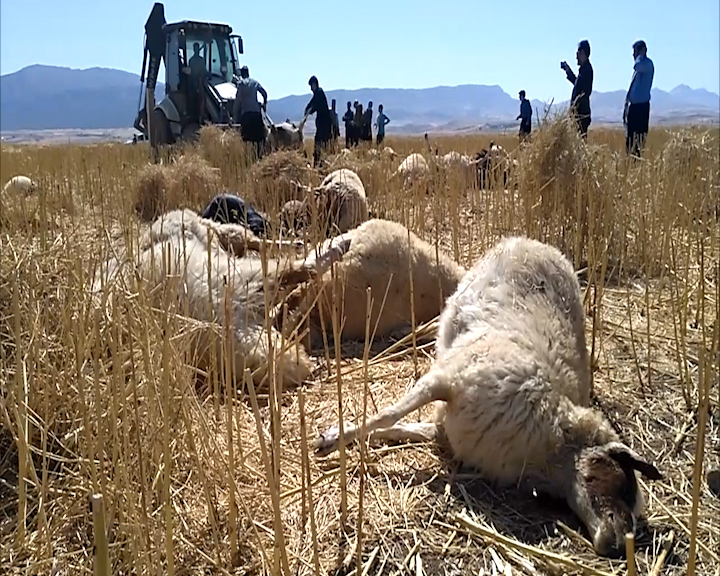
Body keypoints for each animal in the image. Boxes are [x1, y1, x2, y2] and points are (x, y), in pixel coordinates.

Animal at [316, 234, 664, 560]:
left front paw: (358, 439)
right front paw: (331, 438)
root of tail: (533, 242)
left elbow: (401, 427)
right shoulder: (447, 378)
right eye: (623, 484)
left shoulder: (450, 428)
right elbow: (388, 414)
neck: (552, 443)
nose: (619, 547)